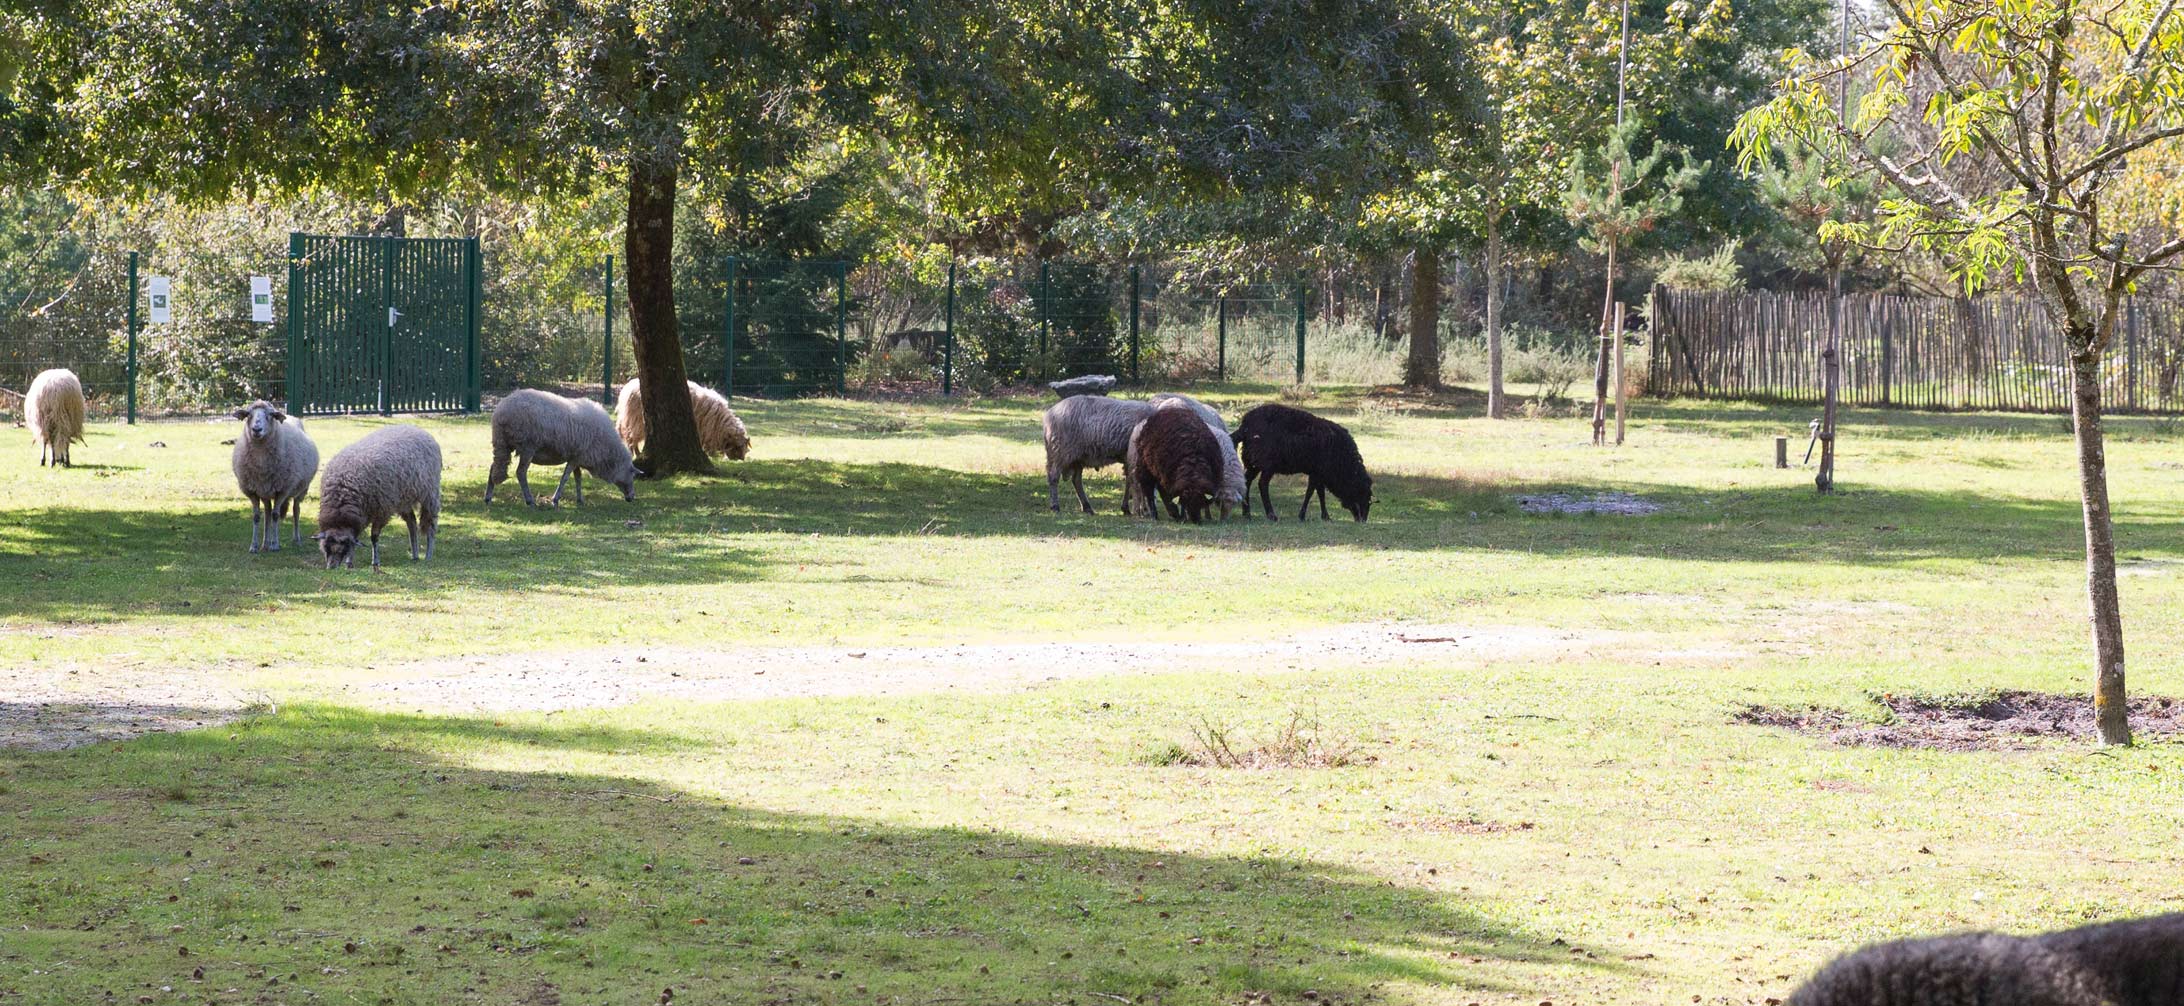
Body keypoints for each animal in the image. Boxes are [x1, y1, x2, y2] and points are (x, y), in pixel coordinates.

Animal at [228, 399, 318, 552]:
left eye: (270, 415)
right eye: (248, 415)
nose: (256, 429)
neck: (260, 458)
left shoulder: (283, 490)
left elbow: (276, 515)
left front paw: (275, 544)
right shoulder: (252, 491)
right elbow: (257, 516)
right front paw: (254, 546)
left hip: (301, 489)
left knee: (296, 510)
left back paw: (296, 538)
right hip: (265, 491)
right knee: (267, 513)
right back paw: (265, 543)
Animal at [314, 418, 441, 567]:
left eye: (342, 548)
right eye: (326, 547)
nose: (331, 567)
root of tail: (417, 429)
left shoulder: (382, 511)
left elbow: (373, 537)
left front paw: (375, 561)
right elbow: (355, 540)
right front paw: (350, 563)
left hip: (430, 493)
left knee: (431, 525)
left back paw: (428, 555)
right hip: (403, 498)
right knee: (412, 523)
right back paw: (415, 555)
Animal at [487, 388, 637, 506]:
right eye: (632, 475)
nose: (632, 497)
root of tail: (501, 411)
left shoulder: (577, 457)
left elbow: (578, 477)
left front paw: (579, 500)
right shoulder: (576, 458)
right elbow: (565, 478)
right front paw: (555, 500)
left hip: (502, 444)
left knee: (494, 467)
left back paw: (488, 498)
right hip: (527, 447)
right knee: (520, 473)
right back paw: (530, 501)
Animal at [615, 377, 751, 460]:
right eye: (738, 446)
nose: (741, 459)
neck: (720, 422)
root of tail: (626, 389)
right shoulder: (706, 431)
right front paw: (711, 454)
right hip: (637, 421)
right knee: (631, 437)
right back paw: (637, 454)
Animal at [1240, 401, 1371, 521]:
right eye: (1362, 494)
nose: (1362, 520)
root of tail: (1245, 423)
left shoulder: (1318, 473)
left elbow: (1320, 493)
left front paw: (1325, 516)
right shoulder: (1317, 472)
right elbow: (1311, 492)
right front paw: (1303, 516)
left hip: (1253, 461)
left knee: (1247, 481)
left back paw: (1247, 513)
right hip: (1267, 462)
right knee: (1262, 484)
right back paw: (1271, 515)